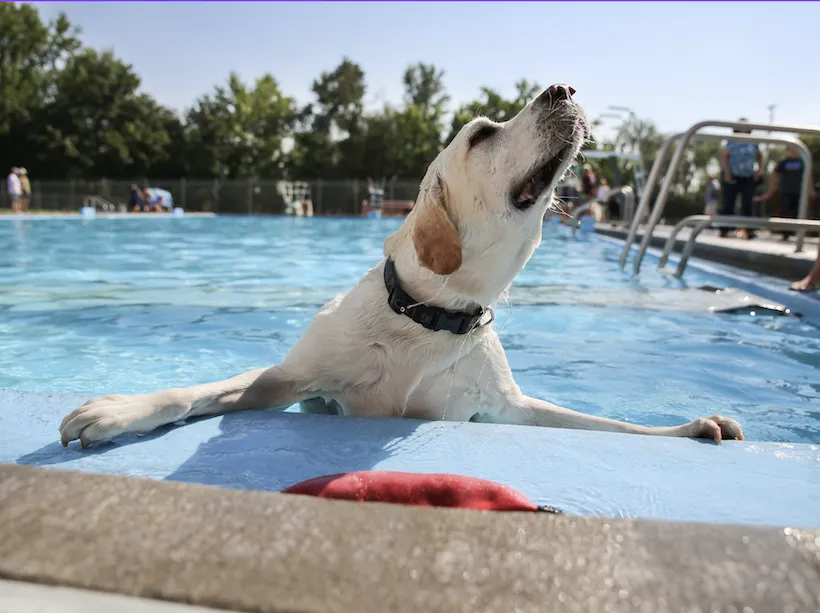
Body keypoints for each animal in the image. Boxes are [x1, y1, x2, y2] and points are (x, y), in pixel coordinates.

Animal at [60, 83, 748, 448]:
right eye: (482, 134)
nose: (563, 88)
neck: (431, 315)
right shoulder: (288, 379)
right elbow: (196, 391)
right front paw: (119, 412)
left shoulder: (510, 410)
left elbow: (605, 425)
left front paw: (691, 429)